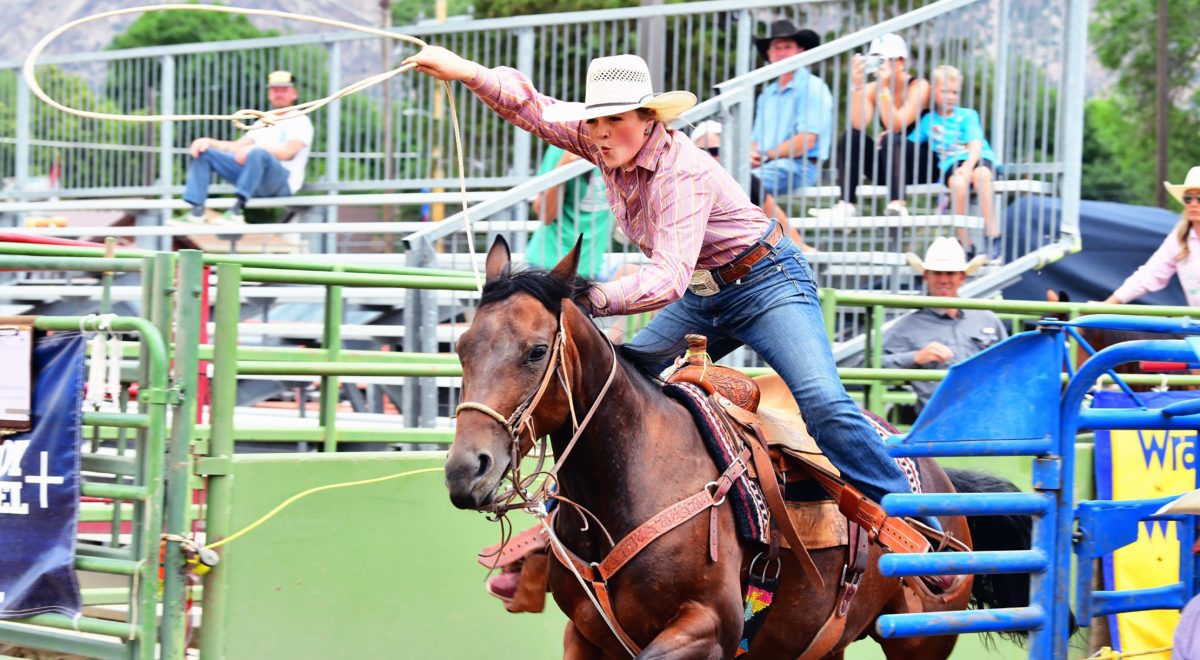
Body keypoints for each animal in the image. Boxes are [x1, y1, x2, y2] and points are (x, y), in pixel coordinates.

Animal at [446, 238, 1027, 660]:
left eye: (537, 350)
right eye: (461, 347)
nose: (464, 471)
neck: (632, 480)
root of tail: (940, 477)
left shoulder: (709, 627)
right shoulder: (586, 635)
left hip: (919, 640)